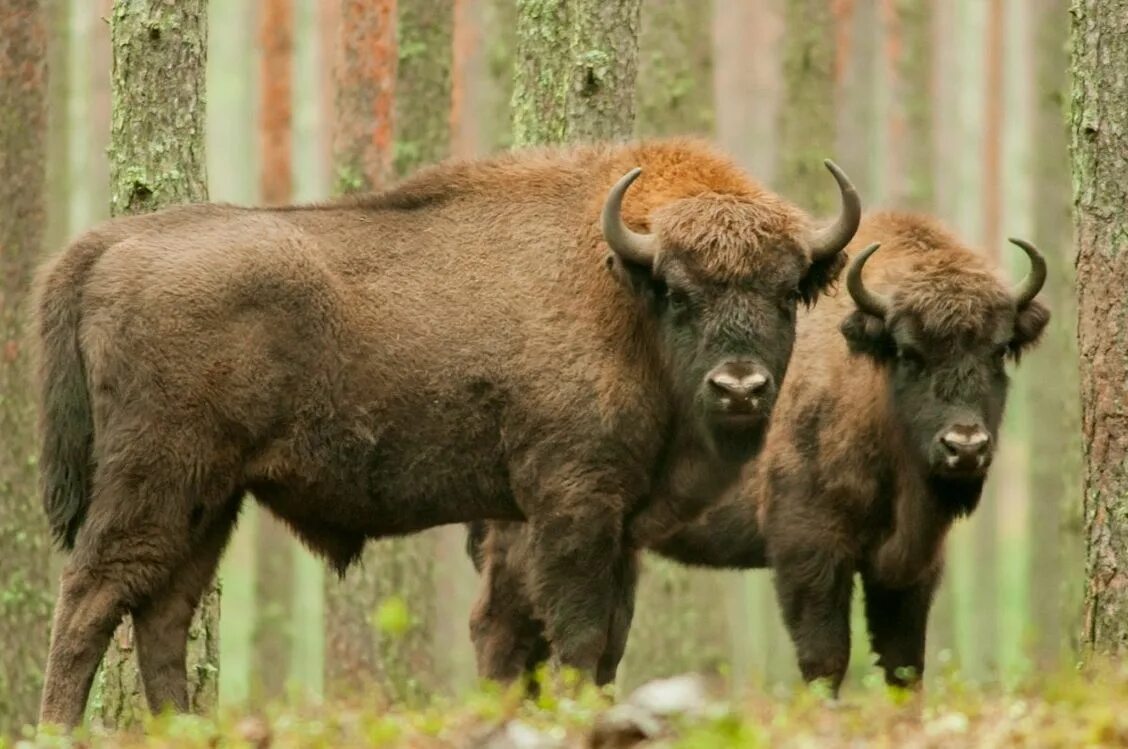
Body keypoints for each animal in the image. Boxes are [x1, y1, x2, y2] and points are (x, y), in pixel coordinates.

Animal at [32, 137, 861, 726]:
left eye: (787, 291)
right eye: (680, 294)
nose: (739, 387)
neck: (622, 290)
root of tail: (104, 248)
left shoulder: (620, 523)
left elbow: (609, 640)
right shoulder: (572, 503)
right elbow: (578, 632)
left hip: (211, 498)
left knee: (163, 612)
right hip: (155, 481)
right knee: (92, 593)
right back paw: (60, 727)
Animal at [464, 207, 1046, 694]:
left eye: (999, 352)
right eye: (908, 353)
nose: (965, 447)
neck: (867, 385)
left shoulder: (913, 566)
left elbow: (904, 666)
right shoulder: (807, 545)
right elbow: (826, 657)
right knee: (501, 630)